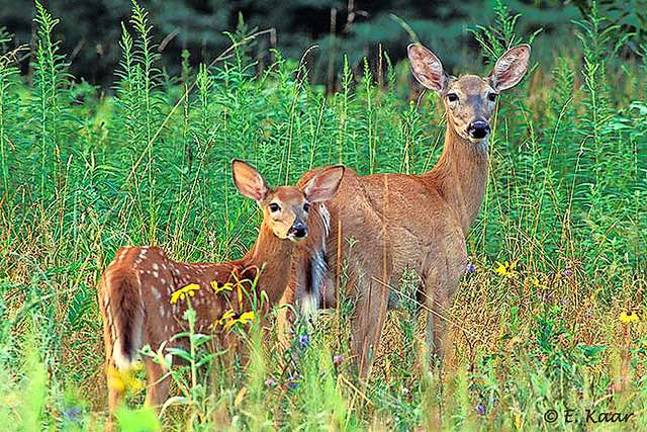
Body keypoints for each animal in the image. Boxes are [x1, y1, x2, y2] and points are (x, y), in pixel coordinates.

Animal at [98, 159, 344, 417]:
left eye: (305, 205)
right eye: (274, 206)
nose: (298, 229)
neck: (253, 278)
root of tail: (124, 271)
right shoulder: (237, 339)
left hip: (114, 344)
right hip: (161, 343)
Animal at [286, 43, 530, 377]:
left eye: (491, 95)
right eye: (452, 95)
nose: (478, 126)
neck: (449, 199)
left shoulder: (411, 301)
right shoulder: (441, 279)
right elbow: (438, 356)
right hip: (368, 283)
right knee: (356, 368)